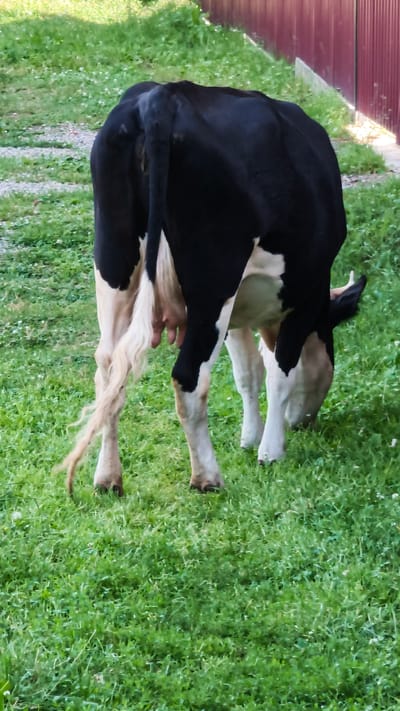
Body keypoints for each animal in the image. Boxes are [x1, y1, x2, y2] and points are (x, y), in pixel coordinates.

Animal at [61, 80, 366, 495]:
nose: (305, 422)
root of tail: (163, 96)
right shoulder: (301, 295)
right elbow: (280, 370)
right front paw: (270, 450)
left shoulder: (238, 308)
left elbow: (248, 372)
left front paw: (250, 437)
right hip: (212, 280)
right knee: (188, 376)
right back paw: (207, 476)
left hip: (114, 262)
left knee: (109, 367)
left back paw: (107, 477)